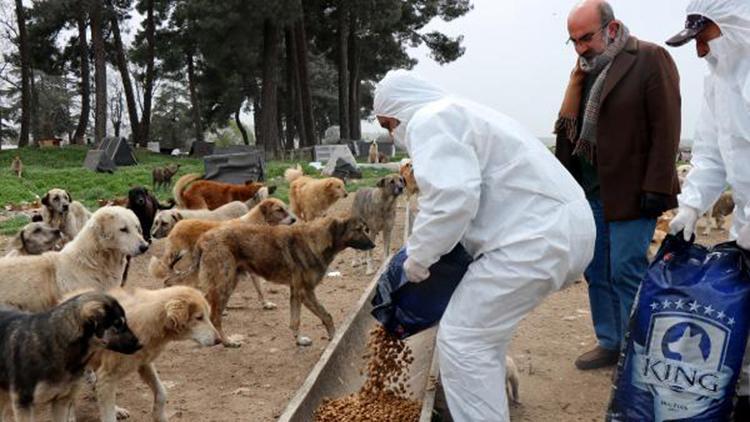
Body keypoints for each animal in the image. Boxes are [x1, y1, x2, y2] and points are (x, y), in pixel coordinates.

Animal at [90, 286, 222, 422]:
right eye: (199, 317)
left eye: (207, 316)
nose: (219, 340)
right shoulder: (106, 375)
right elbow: (108, 416)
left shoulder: (144, 363)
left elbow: (162, 392)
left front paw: (159, 416)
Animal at [150, 198, 296, 310]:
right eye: (279, 209)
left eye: (285, 208)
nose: (294, 220)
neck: (255, 222)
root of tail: (179, 223)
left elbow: (259, 288)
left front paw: (266, 304)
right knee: (170, 281)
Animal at [165, 216, 376, 348]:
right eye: (358, 230)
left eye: (366, 229)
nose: (373, 245)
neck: (318, 240)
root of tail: (204, 238)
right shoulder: (306, 292)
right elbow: (327, 316)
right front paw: (334, 338)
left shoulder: (296, 292)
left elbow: (295, 321)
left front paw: (299, 340)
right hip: (224, 285)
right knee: (215, 317)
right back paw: (227, 342)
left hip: (227, 283)